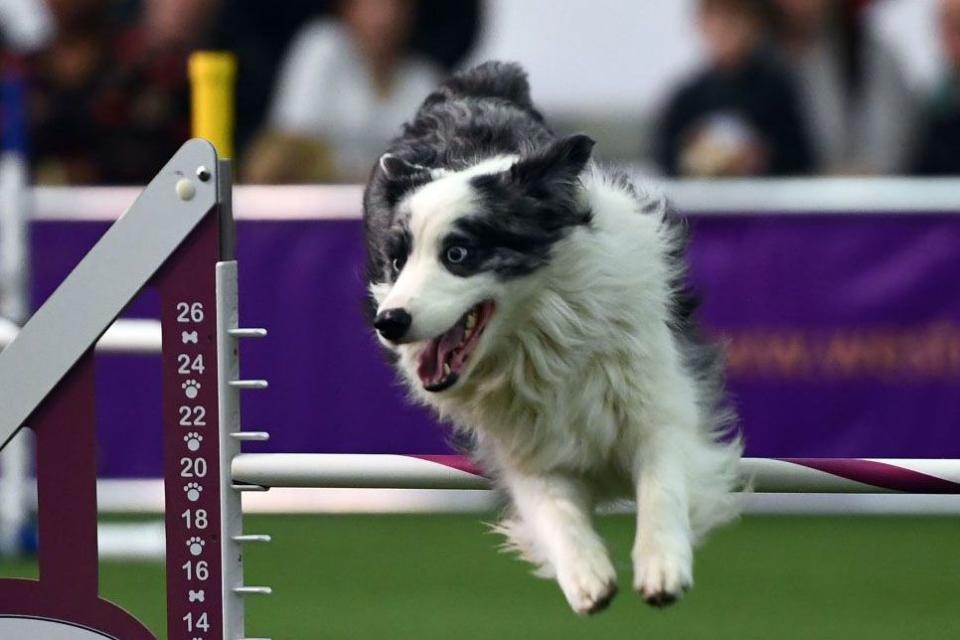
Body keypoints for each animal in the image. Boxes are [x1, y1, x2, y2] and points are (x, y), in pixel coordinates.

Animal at [362, 63, 744, 616]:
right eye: (397, 260)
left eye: (458, 254)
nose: (389, 322)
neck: (541, 333)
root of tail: (477, 85)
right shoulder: (523, 441)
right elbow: (551, 506)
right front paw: (586, 573)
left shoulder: (658, 397)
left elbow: (663, 480)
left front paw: (662, 564)